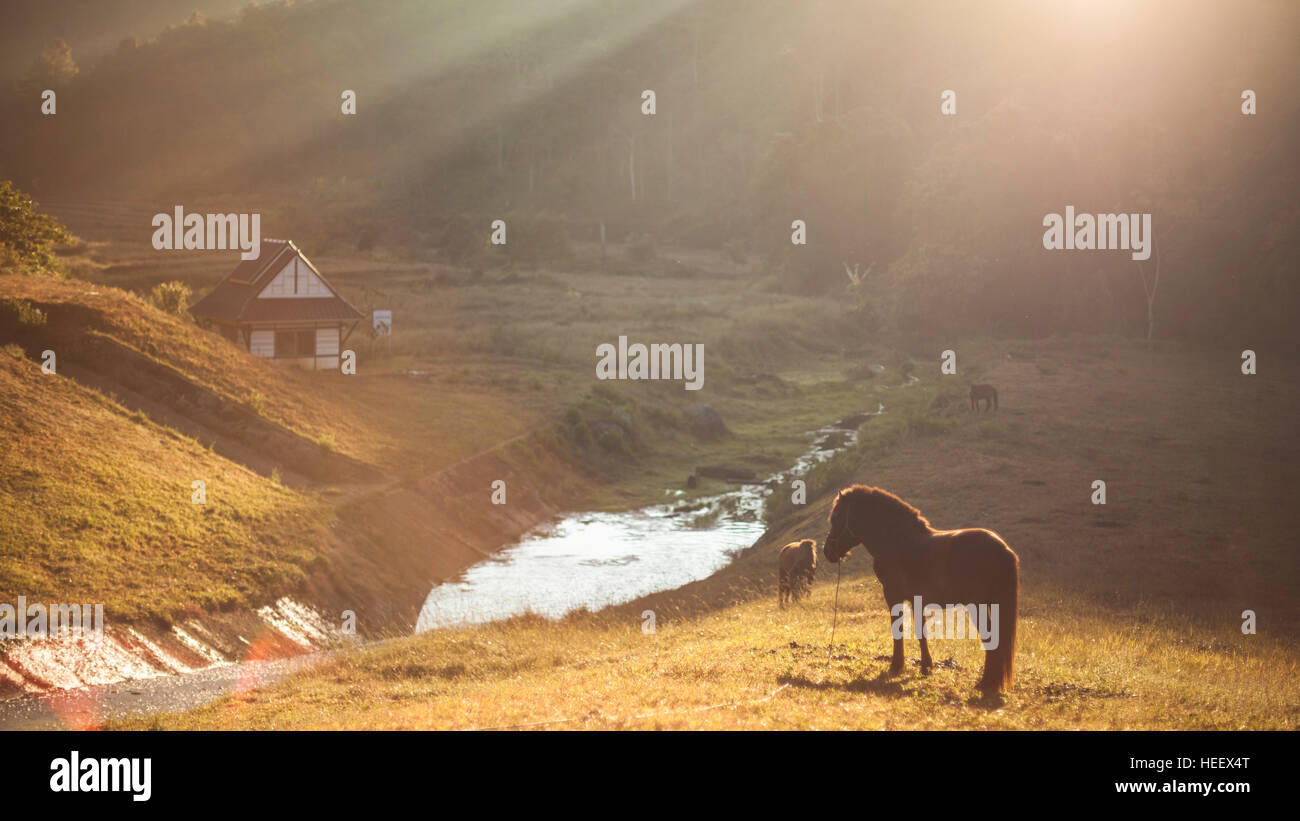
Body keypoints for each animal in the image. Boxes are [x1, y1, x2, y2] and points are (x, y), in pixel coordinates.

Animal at [821, 488, 1013, 691]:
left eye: (837, 516)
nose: (827, 551)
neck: (898, 542)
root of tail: (1002, 547)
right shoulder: (916, 601)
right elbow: (921, 632)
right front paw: (926, 666)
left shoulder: (893, 596)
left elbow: (899, 629)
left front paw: (897, 666)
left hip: (979, 606)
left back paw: (986, 684)